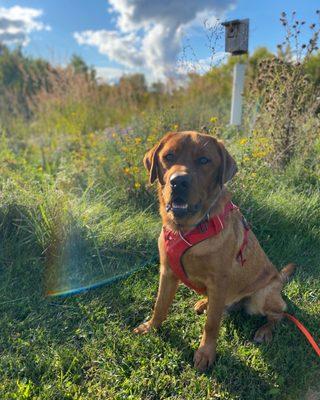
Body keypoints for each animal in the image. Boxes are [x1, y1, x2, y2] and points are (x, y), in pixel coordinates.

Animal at [133, 131, 296, 372]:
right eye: (168, 156)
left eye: (204, 160)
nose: (178, 181)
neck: (188, 230)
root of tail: (278, 279)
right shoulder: (167, 273)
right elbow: (160, 305)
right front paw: (151, 327)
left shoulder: (219, 281)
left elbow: (211, 324)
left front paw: (205, 353)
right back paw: (204, 303)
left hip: (261, 296)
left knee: (279, 314)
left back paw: (265, 330)